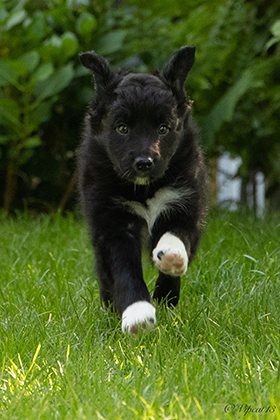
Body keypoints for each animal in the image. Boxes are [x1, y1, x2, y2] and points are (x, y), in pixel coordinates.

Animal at [77, 46, 207, 334]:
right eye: (122, 128)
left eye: (163, 128)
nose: (144, 163)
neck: (144, 188)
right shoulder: (112, 222)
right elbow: (125, 270)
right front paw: (137, 314)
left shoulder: (185, 203)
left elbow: (177, 234)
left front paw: (171, 259)